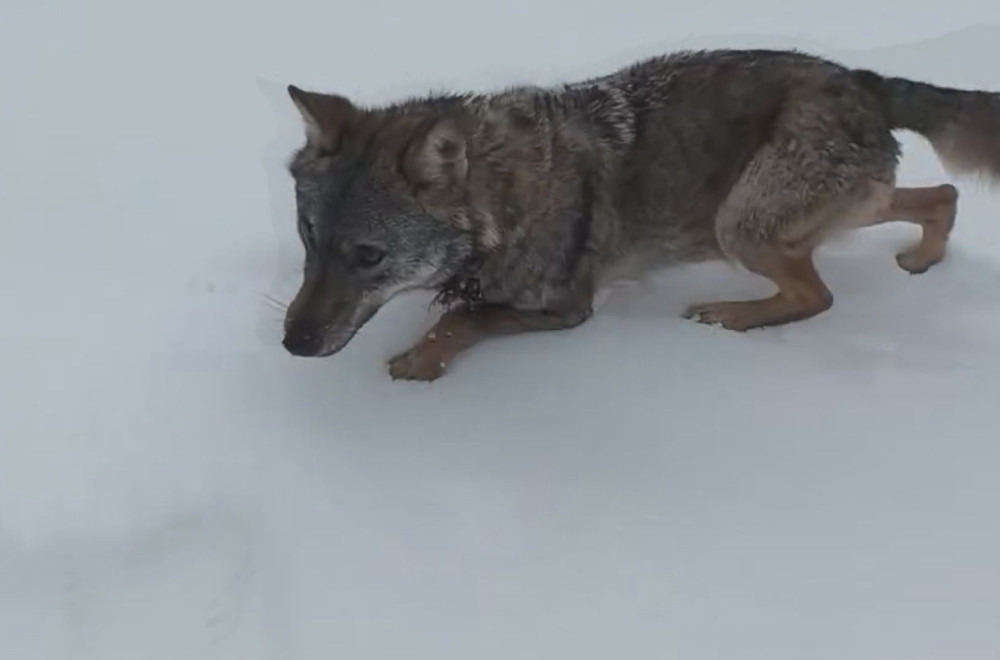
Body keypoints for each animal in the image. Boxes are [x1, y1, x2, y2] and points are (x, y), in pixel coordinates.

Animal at [276, 47, 1000, 382]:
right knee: (943, 194)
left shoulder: (568, 308)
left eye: (369, 256)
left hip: (739, 223)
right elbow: (456, 305)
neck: (498, 201)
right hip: (826, 209)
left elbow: (461, 319)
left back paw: (729, 316)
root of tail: (860, 76)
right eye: (309, 237)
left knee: (817, 296)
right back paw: (922, 259)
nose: (291, 345)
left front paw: (419, 362)